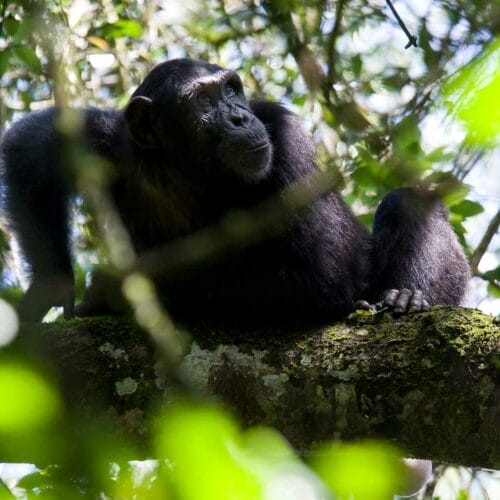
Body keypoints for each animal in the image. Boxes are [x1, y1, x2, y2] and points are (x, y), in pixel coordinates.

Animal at [0, 59, 468, 324]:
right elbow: (32, 145)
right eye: (203, 100)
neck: (186, 171)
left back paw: (404, 296)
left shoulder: (286, 139)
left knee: (407, 204)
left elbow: (322, 273)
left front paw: (116, 289)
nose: (241, 117)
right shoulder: (109, 141)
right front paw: (51, 287)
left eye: (230, 89)